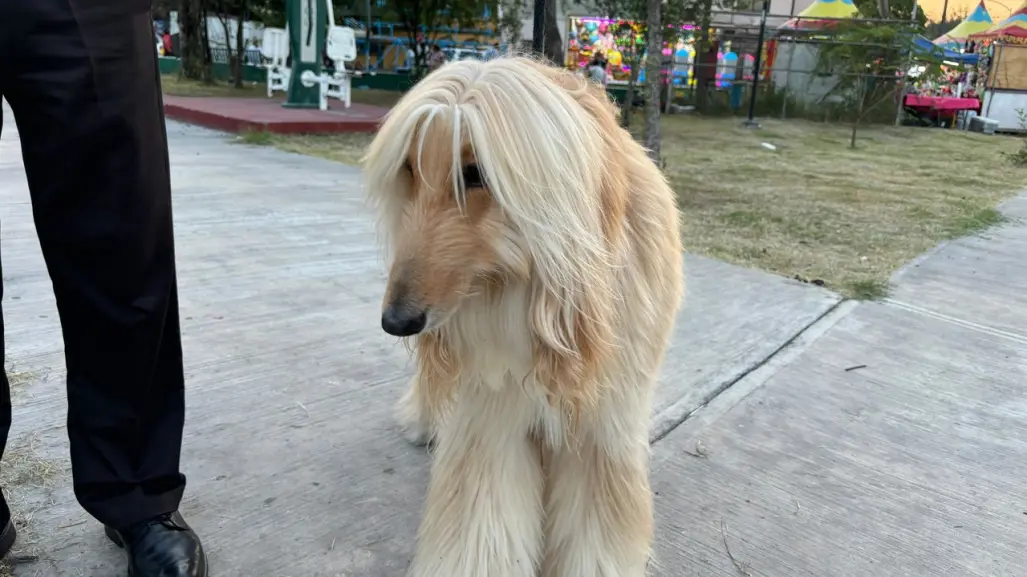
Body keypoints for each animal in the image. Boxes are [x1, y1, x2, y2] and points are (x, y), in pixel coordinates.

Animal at [361, 54, 681, 574]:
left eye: (474, 174)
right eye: (408, 168)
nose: (397, 322)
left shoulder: (605, 423)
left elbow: (595, 526)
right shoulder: (490, 411)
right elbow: (481, 517)